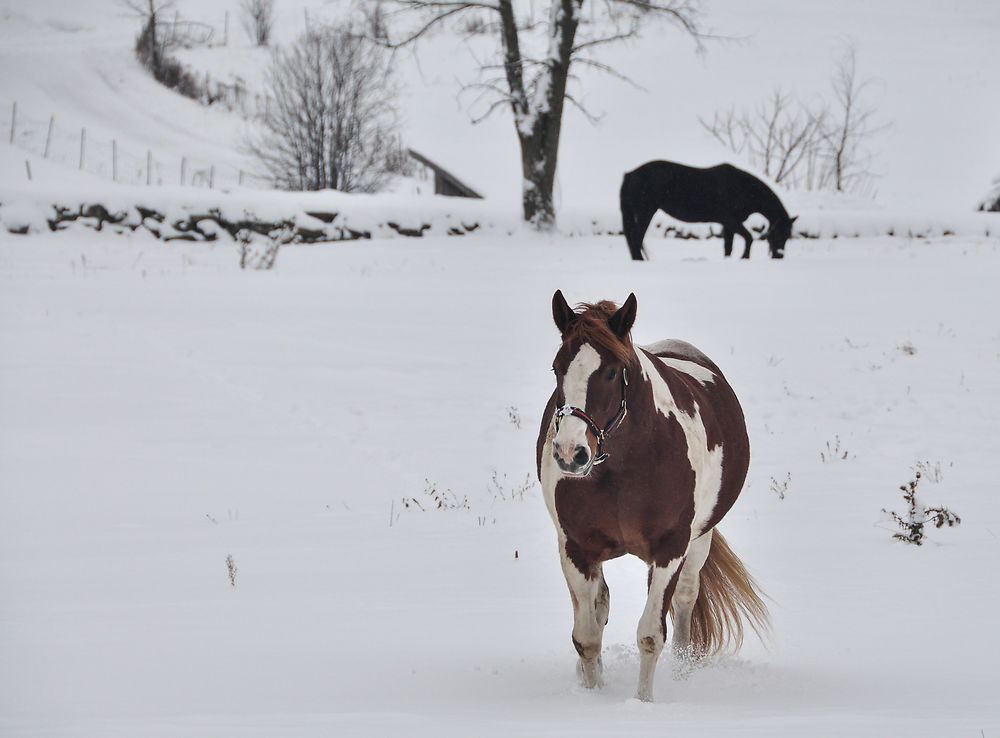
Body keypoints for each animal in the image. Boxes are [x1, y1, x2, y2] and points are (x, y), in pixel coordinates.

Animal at [536, 290, 768, 700]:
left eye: (612, 371)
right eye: (557, 368)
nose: (569, 453)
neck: (624, 468)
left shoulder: (669, 548)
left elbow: (650, 635)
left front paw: (644, 702)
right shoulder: (576, 548)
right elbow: (587, 637)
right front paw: (591, 695)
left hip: (700, 541)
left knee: (686, 598)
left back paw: (682, 672)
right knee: (600, 606)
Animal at [616, 160, 796, 260]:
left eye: (788, 234)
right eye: (781, 232)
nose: (779, 256)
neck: (743, 188)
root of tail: (630, 175)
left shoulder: (728, 225)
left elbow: (728, 247)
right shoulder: (730, 220)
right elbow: (749, 238)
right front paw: (744, 257)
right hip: (646, 212)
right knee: (636, 237)